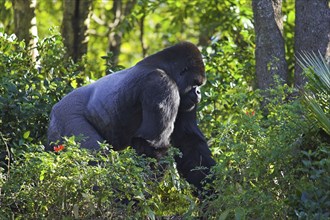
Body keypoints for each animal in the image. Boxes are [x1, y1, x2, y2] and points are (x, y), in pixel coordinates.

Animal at [47, 42, 217, 192]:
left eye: (199, 85)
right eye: (195, 83)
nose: (198, 92)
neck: (166, 69)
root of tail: (54, 110)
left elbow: (189, 143)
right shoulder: (161, 84)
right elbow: (152, 145)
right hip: (66, 117)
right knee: (95, 157)